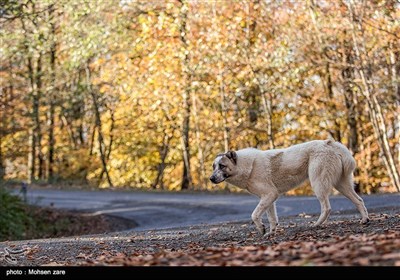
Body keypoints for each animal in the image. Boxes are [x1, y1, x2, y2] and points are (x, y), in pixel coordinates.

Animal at [211, 139, 370, 235]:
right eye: (213, 167)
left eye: (222, 166)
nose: (211, 179)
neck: (247, 166)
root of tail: (329, 142)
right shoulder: (269, 197)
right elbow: (272, 217)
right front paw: (271, 232)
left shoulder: (269, 195)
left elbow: (254, 214)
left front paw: (262, 229)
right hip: (342, 185)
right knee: (359, 200)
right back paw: (365, 220)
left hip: (318, 183)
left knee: (327, 207)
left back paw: (316, 224)